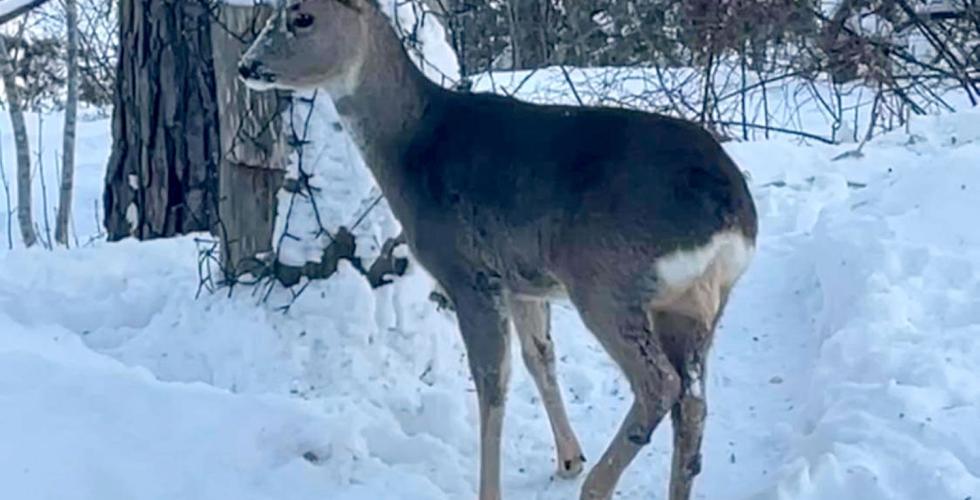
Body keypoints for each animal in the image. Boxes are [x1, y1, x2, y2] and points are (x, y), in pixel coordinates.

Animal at [237, 0, 756, 500]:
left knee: (660, 384)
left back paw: (596, 488)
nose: (246, 64)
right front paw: (568, 459)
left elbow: (492, 382)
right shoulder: (523, 282)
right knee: (693, 403)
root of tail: (733, 214)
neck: (408, 142)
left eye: (302, 17)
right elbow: (539, 356)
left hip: (607, 280)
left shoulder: (467, 272)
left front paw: (493, 490)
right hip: (694, 304)